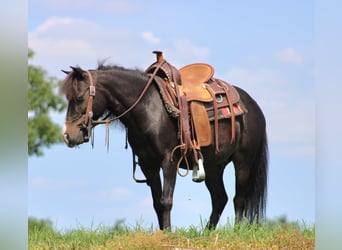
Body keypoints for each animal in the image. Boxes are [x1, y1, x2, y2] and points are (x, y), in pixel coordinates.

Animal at [61, 59, 268, 230]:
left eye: (79, 98)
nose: (67, 135)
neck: (148, 107)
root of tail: (253, 105)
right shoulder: (148, 165)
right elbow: (156, 202)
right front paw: (162, 233)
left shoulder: (169, 161)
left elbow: (166, 200)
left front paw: (168, 232)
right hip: (213, 166)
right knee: (220, 198)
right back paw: (207, 233)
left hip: (243, 162)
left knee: (238, 199)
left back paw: (235, 230)